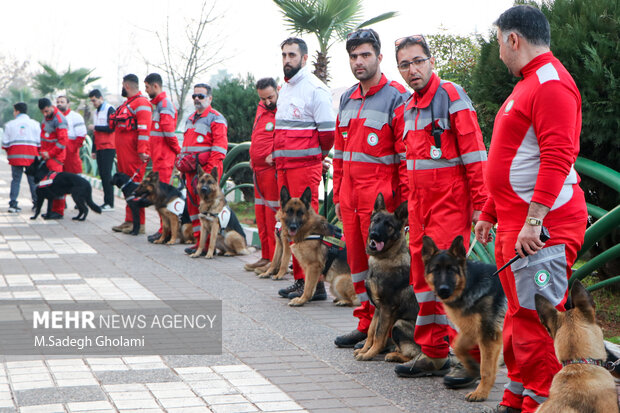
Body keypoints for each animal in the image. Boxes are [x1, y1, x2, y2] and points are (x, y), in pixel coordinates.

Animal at [352, 193, 418, 360]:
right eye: (375, 221)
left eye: (389, 225)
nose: (374, 235)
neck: (385, 258)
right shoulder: (378, 308)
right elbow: (371, 331)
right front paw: (364, 350)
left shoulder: (387, 308)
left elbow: (379, 334)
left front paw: (369, 354)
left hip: (399, 324)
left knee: (414, 354)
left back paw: (396, 356)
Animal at [424, 237, 506, 400]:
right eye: (436, 270)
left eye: (451, 270)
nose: (443, 290)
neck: (470, 284)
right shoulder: (471, 331)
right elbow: (458, 347)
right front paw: (471, 367)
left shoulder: (488, 337)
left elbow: (486, 369)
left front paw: (480, 393)